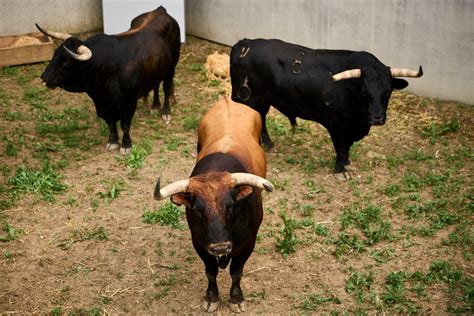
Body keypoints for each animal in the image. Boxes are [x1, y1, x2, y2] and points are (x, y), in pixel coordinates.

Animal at [36, 4, 181, 153]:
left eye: (66, 61)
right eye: (55, 54)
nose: (44, 77)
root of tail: (160, 10)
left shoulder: (130, 101)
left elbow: (125, 123)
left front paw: (126, 145)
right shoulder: (101, 103)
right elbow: (110, 122)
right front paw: (112, 141)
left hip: (172, 66)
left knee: (166, 87)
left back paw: (165, 112)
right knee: (156, 84)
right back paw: (155, 105)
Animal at [156, 95, 274, 312]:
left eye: (231, 207)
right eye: (197, 210)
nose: (220, 248)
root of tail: (228, 100)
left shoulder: (248, 242)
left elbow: (236, 271)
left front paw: (236, 299)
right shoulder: (200, 242)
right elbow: (210, 271)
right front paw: (211, 297)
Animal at [230, 37, 422, 178]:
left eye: (388, 91)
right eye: (364, 92)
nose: (377, 118)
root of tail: (244, 43)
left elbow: (347, 148)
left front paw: (346, 163)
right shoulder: (335, 124)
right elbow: (341, 147)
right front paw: (339, 170)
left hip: (262, 101)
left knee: (260, 117)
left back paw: (268, 143)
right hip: (245, 97)